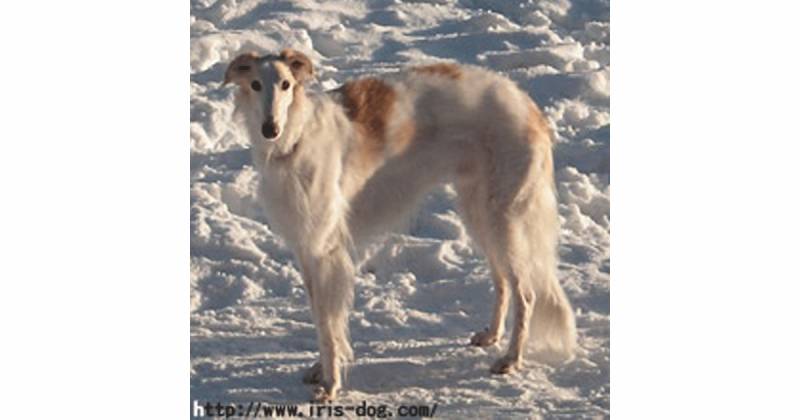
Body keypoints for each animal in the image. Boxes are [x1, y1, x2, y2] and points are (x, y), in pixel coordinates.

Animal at [225, 49, 576, 400]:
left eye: (286, 84)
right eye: (255, 84)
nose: (270, 128)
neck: (295, 140)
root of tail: (527, 105)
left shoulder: (325, 252)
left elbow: (328, 325)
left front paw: (330, 384)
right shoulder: (306, 251)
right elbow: (322, 320)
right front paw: (320, 370)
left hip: (502, 217)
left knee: (525, 293)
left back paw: (511, 359)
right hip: (478, 212)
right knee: (502, 281)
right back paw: (491, 335)